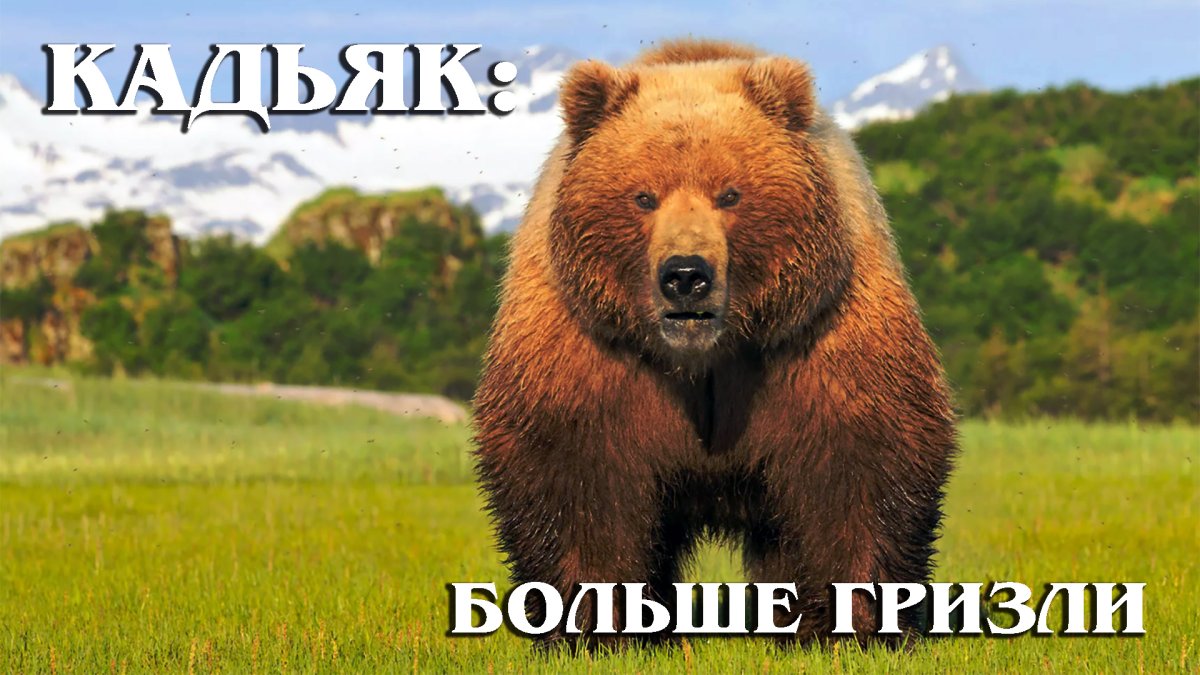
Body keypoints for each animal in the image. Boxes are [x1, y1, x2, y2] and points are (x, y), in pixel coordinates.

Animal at [472, 38, 957, 647]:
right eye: (643, 195)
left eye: (730, 193)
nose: (685, 275)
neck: (705, 358)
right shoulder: (588, 348)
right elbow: (574, 473)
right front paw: (590, 627)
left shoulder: (818, 337)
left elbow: (860, 462)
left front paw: (857, 625)